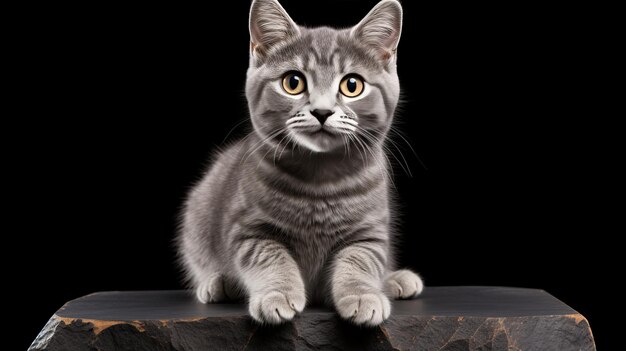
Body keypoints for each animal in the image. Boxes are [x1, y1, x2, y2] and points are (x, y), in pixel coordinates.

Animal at [176, 0, 422, 328]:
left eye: (352, 85)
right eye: (293, 83)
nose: (322, 111)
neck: (320, 180)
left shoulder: (369, 231)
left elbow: (360, 259)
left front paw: (362, 294)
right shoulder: (249, 230)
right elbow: (270, 257)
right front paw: (277, 295)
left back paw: (396, 280)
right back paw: (219, 283)